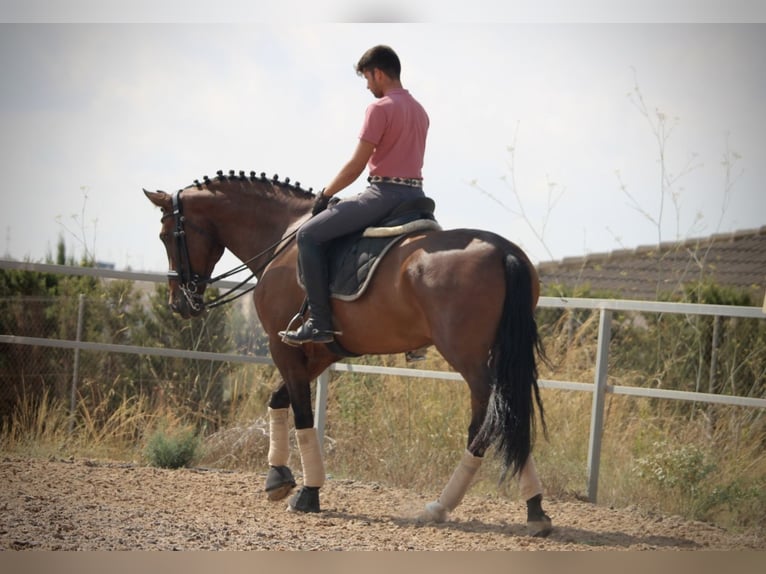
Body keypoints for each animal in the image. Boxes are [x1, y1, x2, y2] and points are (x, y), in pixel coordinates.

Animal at [144, 169, 552, 536]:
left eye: (166, 236)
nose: (179, 303)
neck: (284, 237)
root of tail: (503, 251)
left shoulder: (283, 345)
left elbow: (301, 413)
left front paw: (308, 493)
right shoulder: (321, 352)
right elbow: (278, 399)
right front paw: (277, 477)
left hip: (469, 360)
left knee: (491, 422)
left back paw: (441, 506)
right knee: (511, 417)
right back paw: (534, 510)